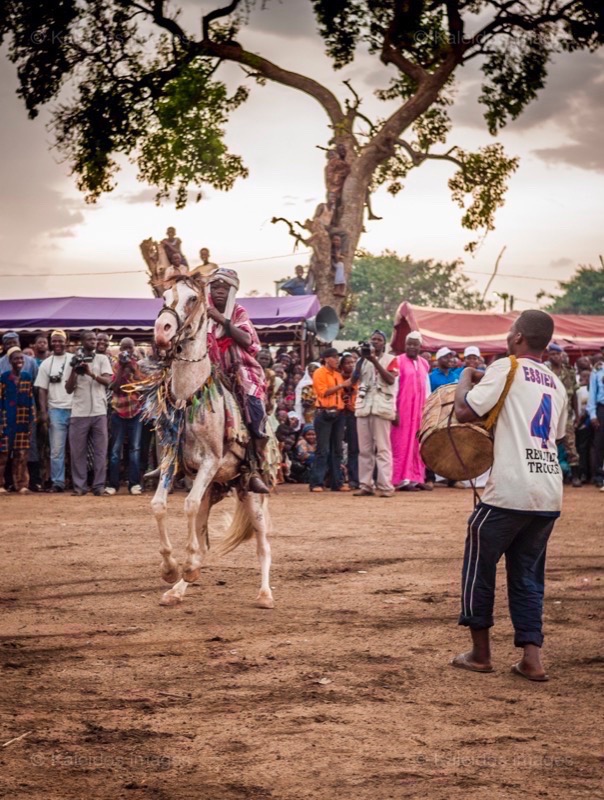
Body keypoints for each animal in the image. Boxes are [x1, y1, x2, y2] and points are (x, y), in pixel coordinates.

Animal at [150, 276, 274, 608]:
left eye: (193, 298)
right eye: (164, 297)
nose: (162, 330)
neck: (189, 395)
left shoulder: (210, 461)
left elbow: (189, 505)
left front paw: (187, 565)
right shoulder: (172, 461)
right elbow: (159, 506)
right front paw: (172, 568)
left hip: (252, 495)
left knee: (263, 545)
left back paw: (265, 594)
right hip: (214, 488)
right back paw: (177, 589)